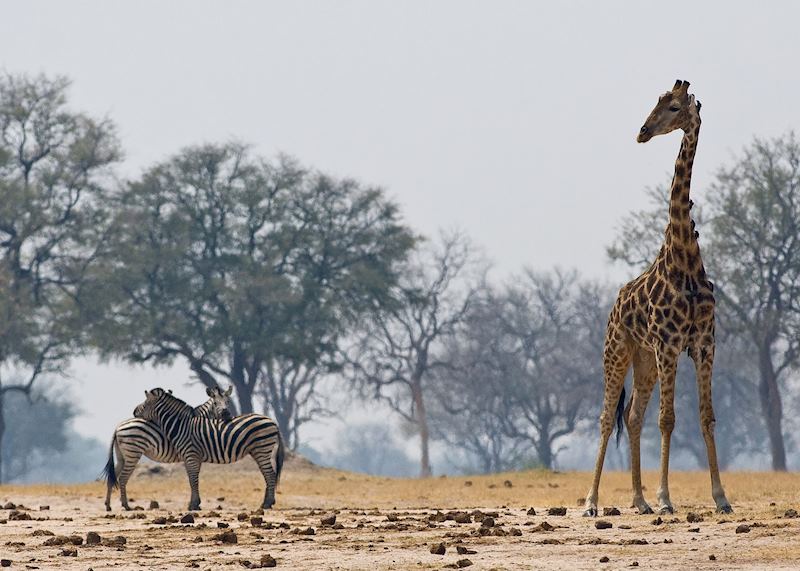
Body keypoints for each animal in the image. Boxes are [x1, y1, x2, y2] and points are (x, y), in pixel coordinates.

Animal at [99, 386, 231, 512]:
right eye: (215, 403)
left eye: (228, 401)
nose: (227, 415)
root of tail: (118, 427)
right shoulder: (193, 454)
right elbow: (194, 479)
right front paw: (195, 504)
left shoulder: (193, 456)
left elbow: (193, 478)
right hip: (133, 454)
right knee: (122, 478)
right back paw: (126, 506)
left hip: (122, 456)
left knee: (112, 477)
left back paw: (108, 506)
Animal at [135, 386, 288, 512]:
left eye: (145, 404)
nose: (134, 411)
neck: (181, 426)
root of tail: (273, 421)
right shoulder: (190, 457)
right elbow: (193, 478)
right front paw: (196, 503)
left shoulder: (191, 455)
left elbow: (193, 479)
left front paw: (193, 505)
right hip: (258, 451)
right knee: (268, 474)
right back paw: (267, 502)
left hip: (262, 449)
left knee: (270, 474)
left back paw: (267, 504)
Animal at [580, 79, 732, 520]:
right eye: (657, 102)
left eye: (675, 107)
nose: (642, 132)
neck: (685, 256)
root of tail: (614, 305)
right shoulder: (669, 344)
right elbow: (668, 419)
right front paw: (667, 497)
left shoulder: (703, 343)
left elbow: (706, 417)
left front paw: (720, 497)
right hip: (618, 350)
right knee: (605, 416)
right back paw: (592, 502)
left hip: (644, 359)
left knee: (632, 416)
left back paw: (639, 500)